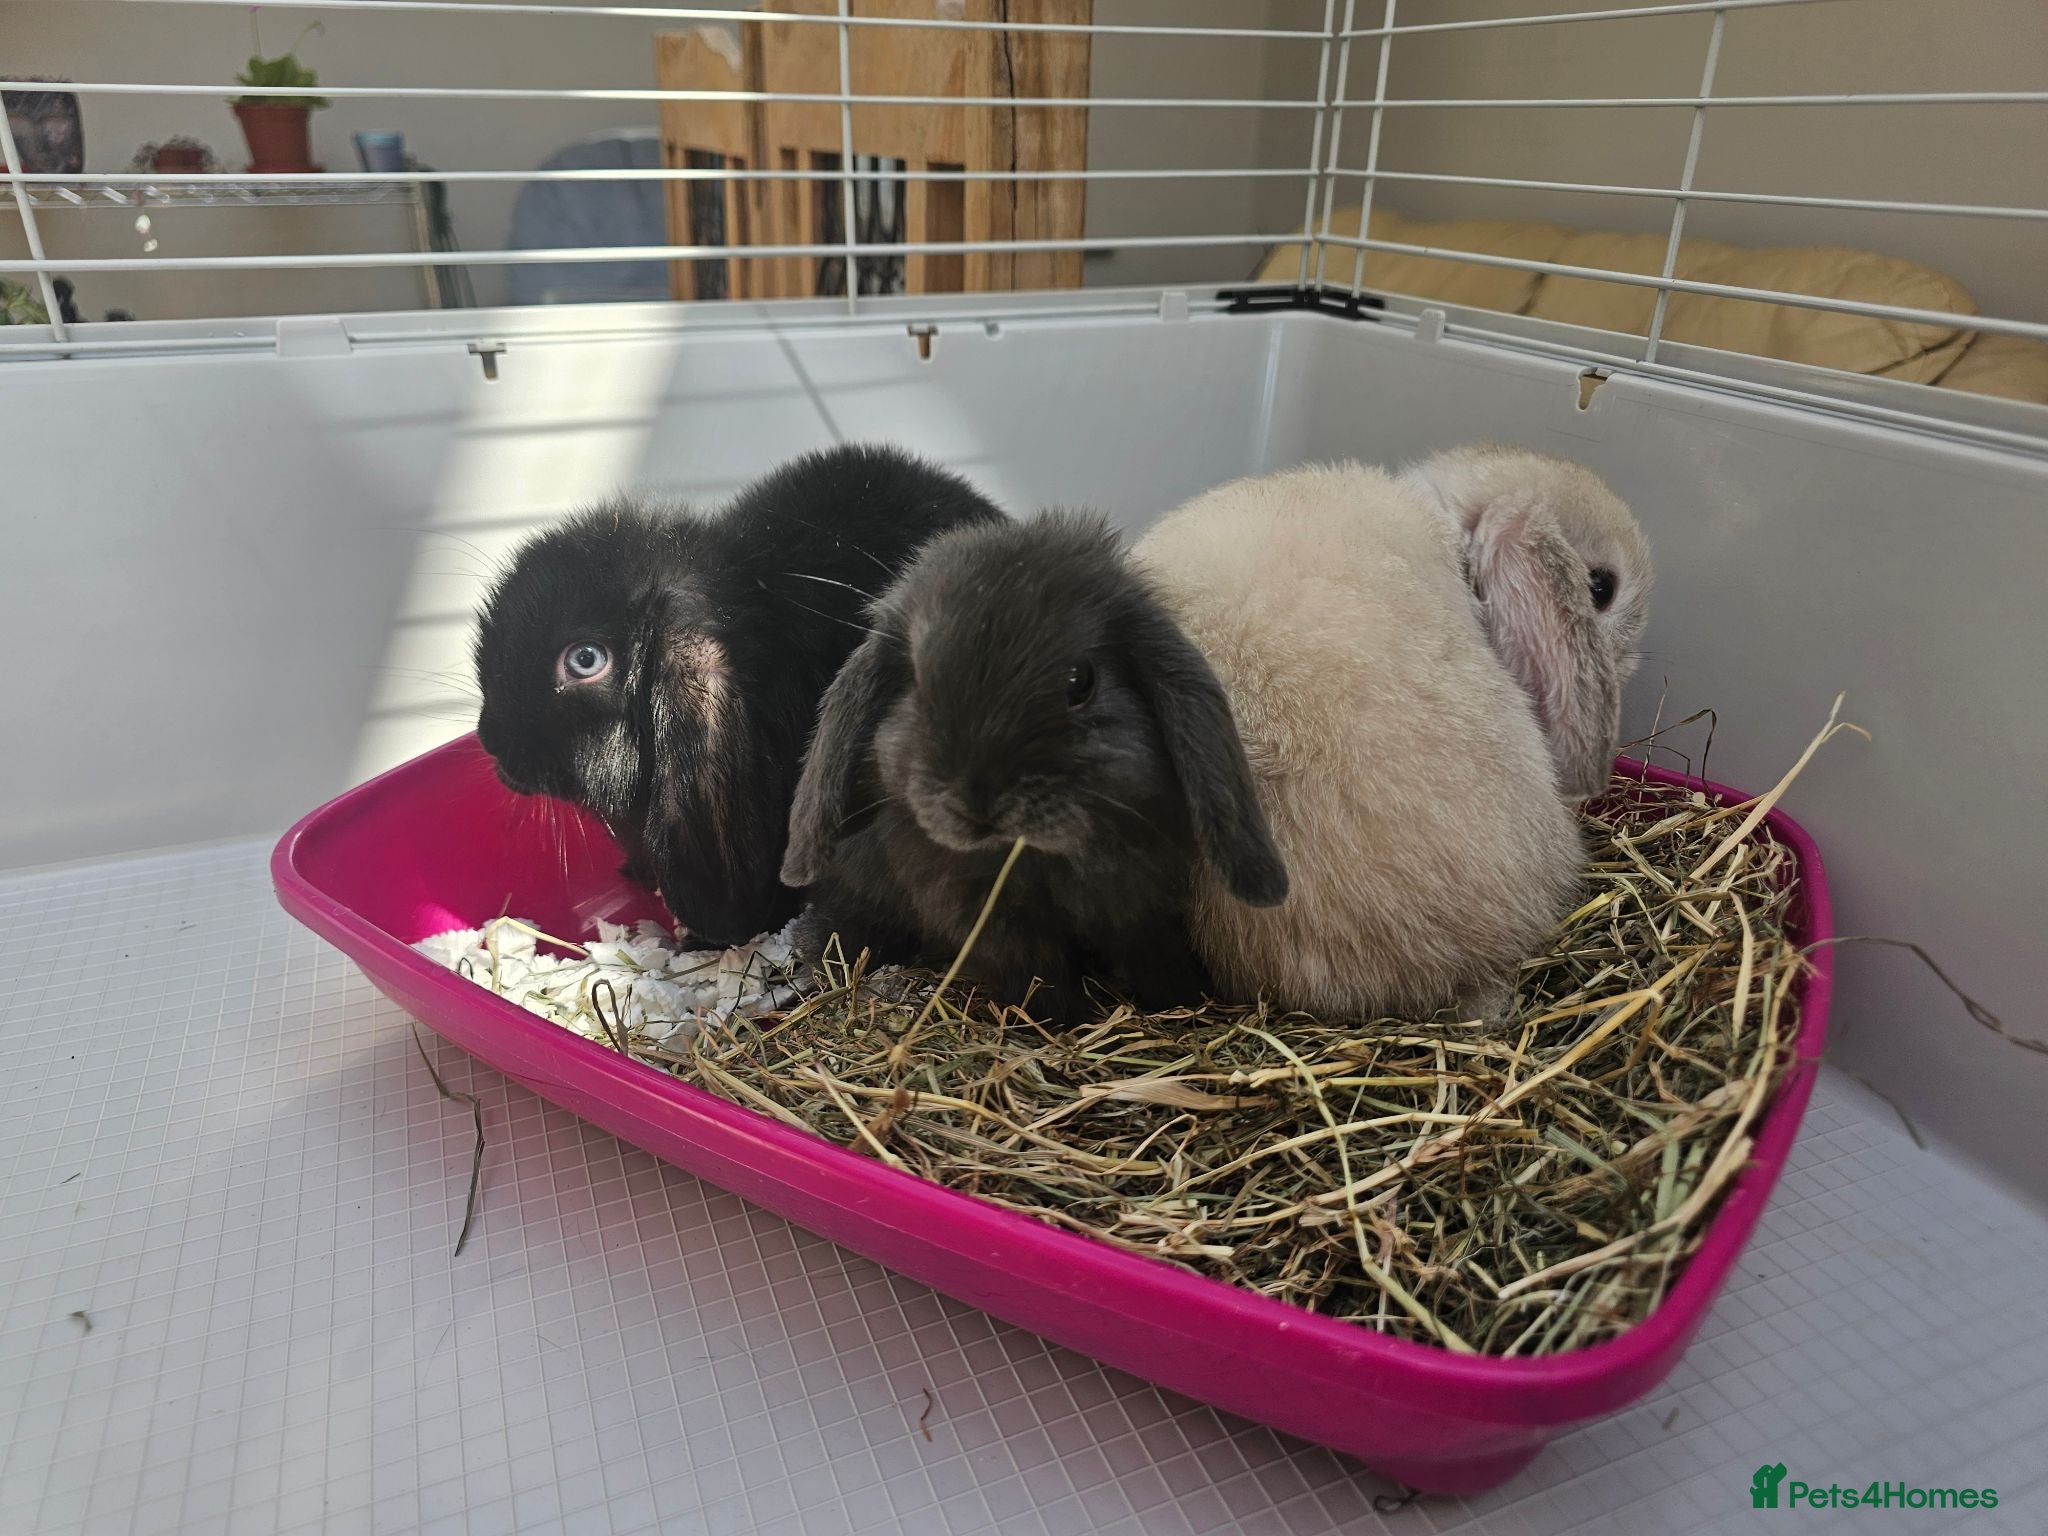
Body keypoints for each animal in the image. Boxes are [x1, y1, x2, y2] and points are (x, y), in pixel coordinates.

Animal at [780, 510, 1289, 1027]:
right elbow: (1035, 974)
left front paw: (1183, 999)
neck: (1040, 858)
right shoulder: (989, 919)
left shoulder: (1137, 897)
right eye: (918, 683)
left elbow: (1151, 952)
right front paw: (1063, 1022)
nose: (977, 800)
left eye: (1079, 679)